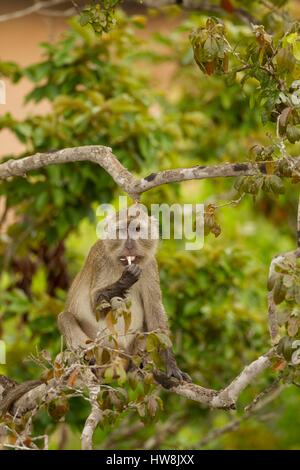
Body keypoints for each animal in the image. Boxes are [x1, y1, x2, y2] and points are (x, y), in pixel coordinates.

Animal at [57, 204, 191, 384]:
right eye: (121, 230)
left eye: (137, 229)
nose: (129, 245)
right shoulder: (100, 259)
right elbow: (96, 306)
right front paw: (125, 279)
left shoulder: (150, 265)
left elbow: (155, 314)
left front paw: (171, 365)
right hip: (103, 350)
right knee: (65, 317)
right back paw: (89, 360)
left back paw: (137, 366)